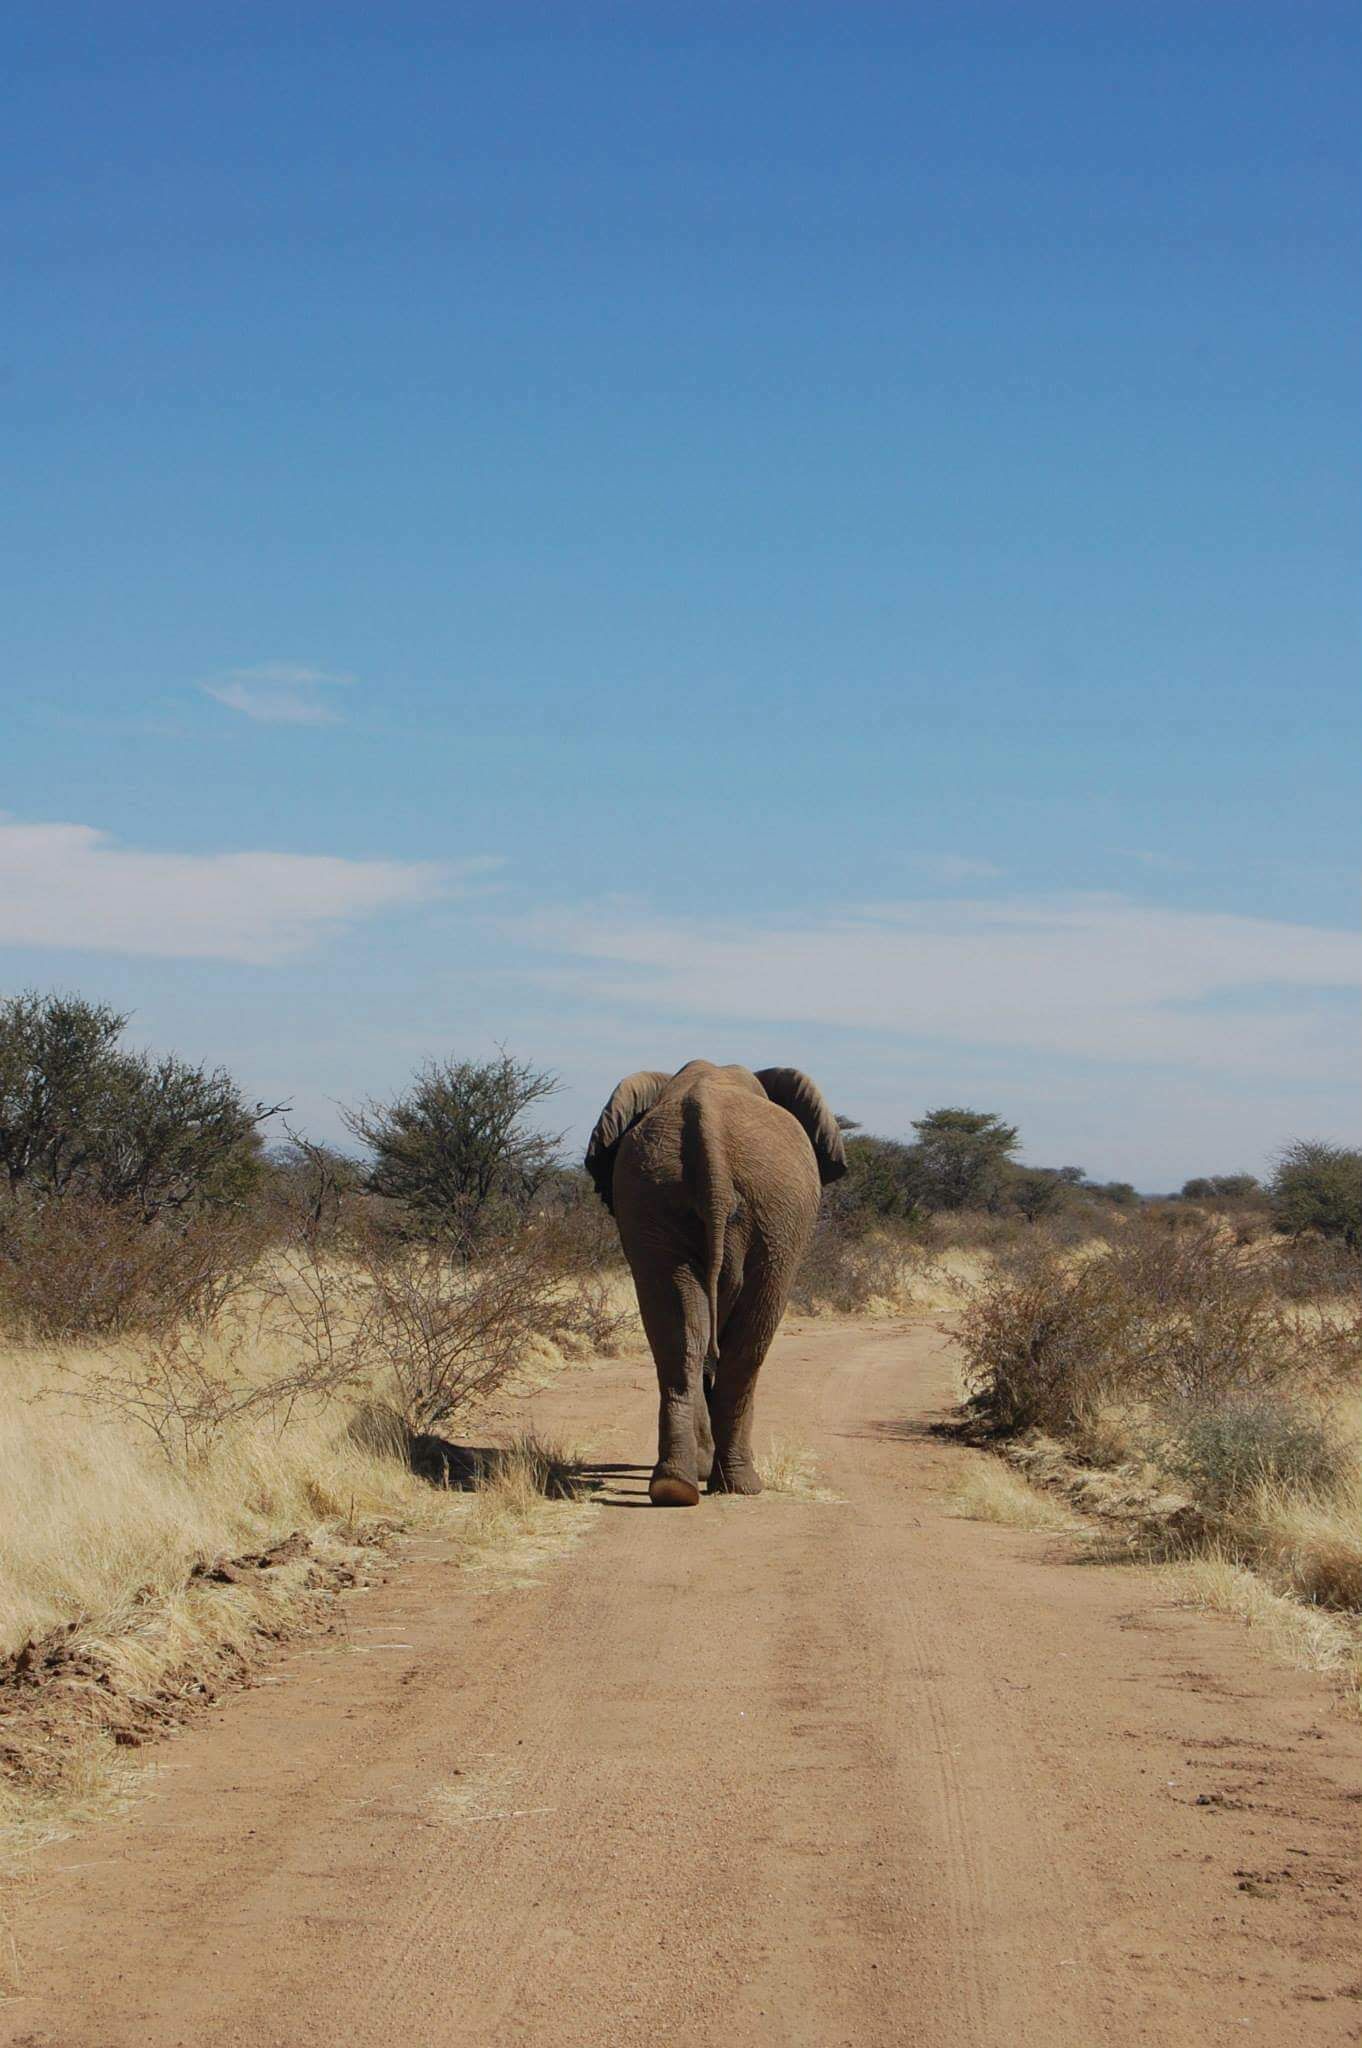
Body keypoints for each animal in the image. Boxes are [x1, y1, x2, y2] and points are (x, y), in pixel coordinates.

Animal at [585, 1061, 847, 1506]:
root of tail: (704, 1126)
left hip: (652, 1199)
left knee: (680, 1339)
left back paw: (675, 1488)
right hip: (775, 1222)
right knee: (748, 1348)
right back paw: (740, 1485)